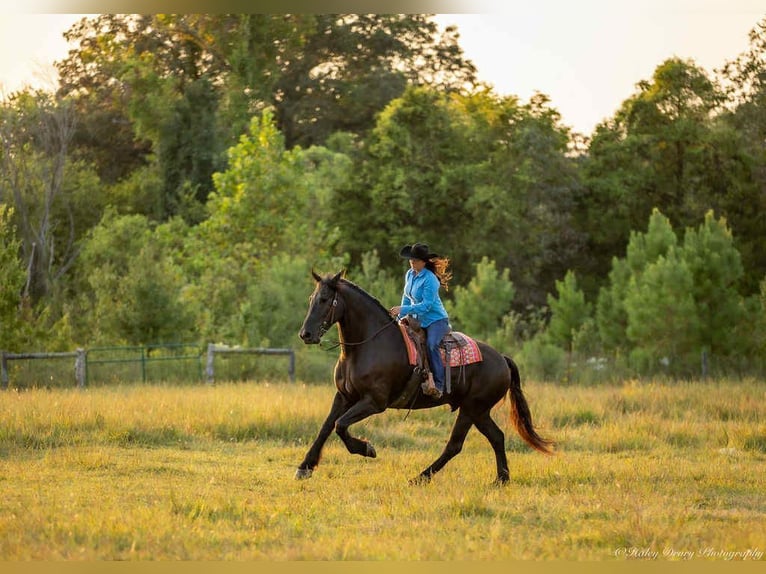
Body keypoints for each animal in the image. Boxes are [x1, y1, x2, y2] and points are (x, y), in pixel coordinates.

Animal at [296, 270, 553, 484]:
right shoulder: (344, 396)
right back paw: (501, 479)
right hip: (480, 412)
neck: (367, 345)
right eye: (310, 299)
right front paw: (305, 467)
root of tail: (502, 358)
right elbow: (327, 426)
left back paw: (420, 477)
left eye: (324, 299)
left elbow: (340, 425)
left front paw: (367, 449)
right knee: (497, 437)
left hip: (472, 408)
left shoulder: (374, 402)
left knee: (455, 445)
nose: (305, 334)